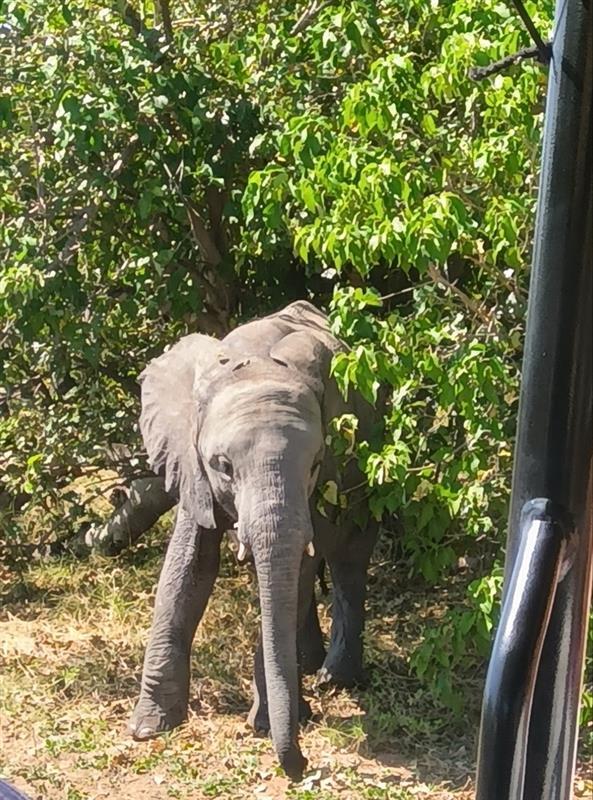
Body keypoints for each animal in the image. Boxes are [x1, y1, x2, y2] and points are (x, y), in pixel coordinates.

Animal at [128, 301, 380, 780]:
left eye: (315, 463)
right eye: (223, 466)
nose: (303, 765)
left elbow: (298, 568)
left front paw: (266, 725)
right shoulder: (190, 464)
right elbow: (188, 568)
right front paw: (150, 729)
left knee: (348, 557)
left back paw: (333, 678)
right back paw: (308, 668)